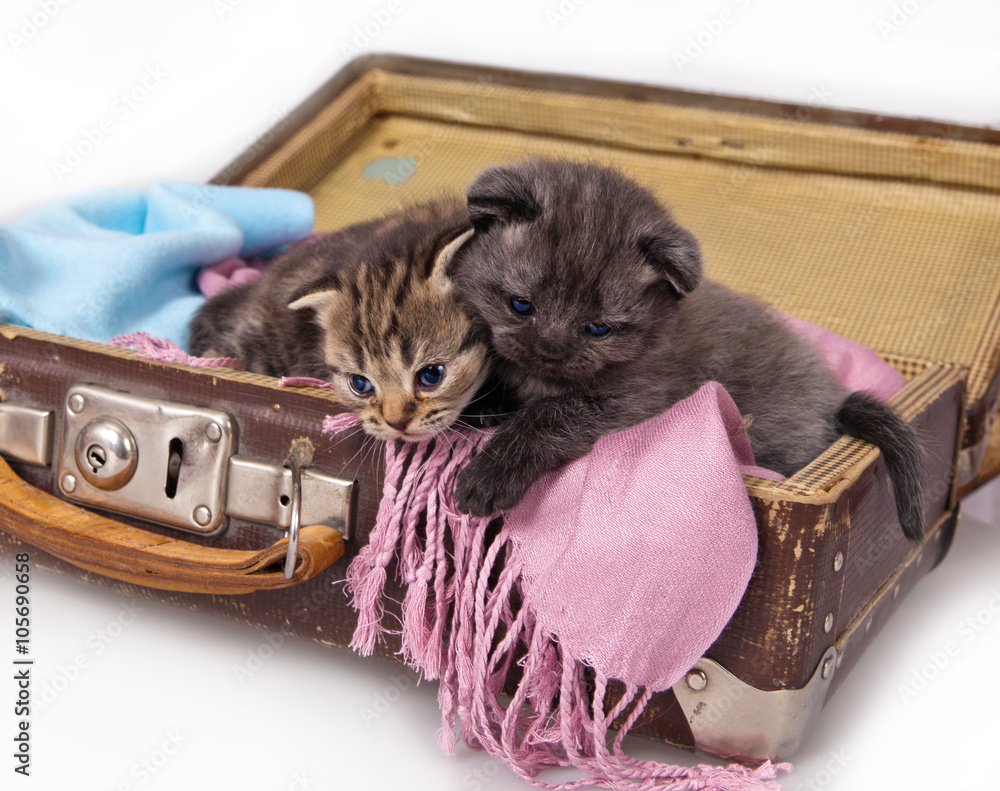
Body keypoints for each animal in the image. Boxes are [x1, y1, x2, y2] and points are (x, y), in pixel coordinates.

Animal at [454, 156, 920, 540]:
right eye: (520, 305)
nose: (549, 352)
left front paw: (491, 472)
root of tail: (833, 402)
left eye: (598, 329)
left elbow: (544, 417)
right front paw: (487, 402)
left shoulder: (626, 400)